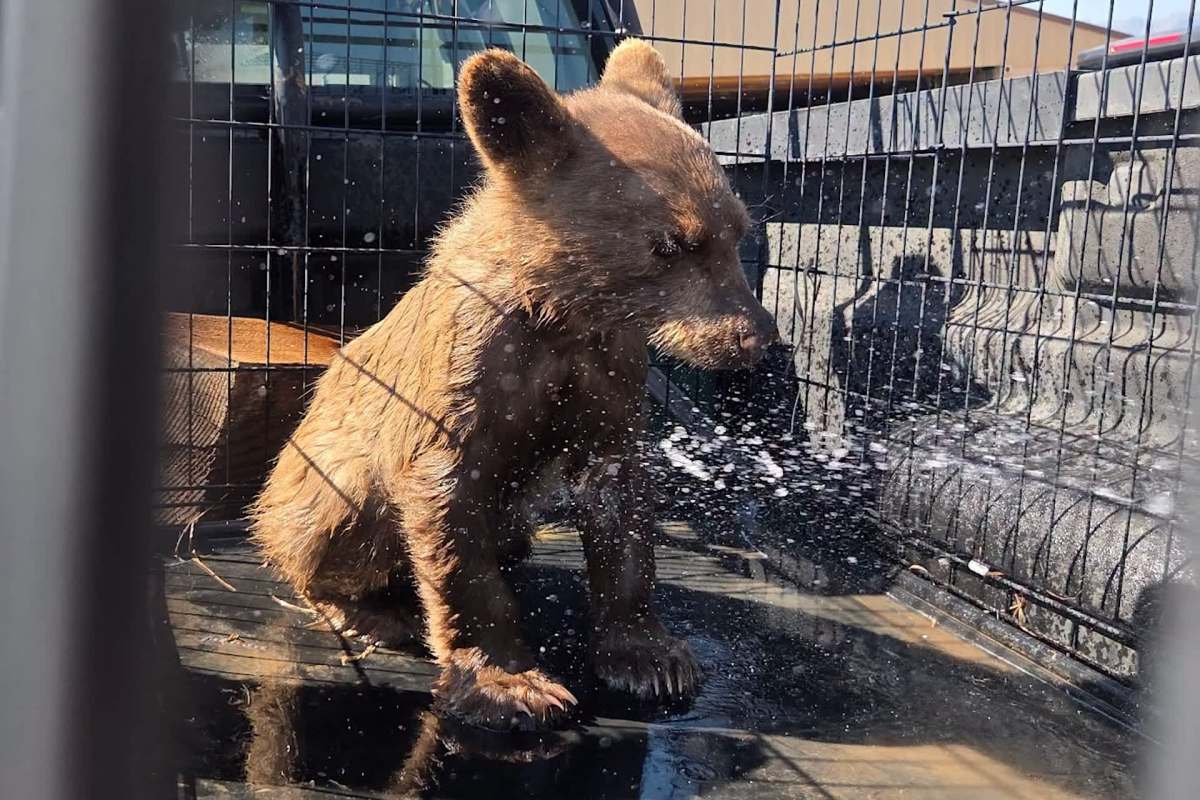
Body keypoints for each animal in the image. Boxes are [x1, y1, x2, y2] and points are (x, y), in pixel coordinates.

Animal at [250, 39, 779, 731]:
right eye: (671, 243)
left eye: (738, 231)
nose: (756, 336)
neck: (563, 313)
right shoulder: (468, 372)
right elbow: (449, 514)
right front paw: (509, 682)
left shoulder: (606, 371)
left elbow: (618, 498)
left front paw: (650, 654)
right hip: (323, 475)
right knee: (322, 526)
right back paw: (370, 612)